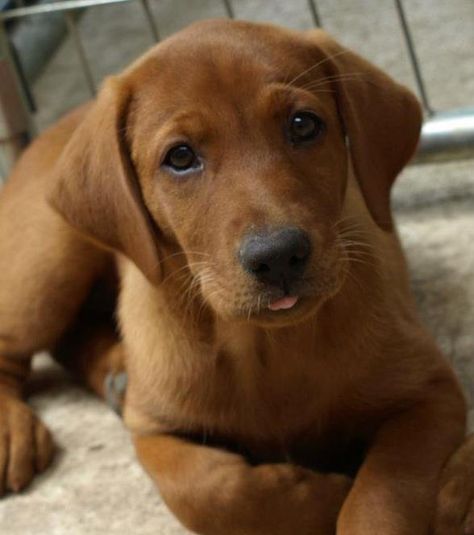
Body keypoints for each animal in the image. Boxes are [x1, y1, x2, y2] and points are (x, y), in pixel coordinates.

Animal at [0, 18, 474, 532]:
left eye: (303, 125)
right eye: (180, 157)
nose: (278, 255)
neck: (264, 346)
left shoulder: (429, 395)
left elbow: (381, 498)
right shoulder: (153, 431)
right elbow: (212, 490)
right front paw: (324, 495)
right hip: (44, 268)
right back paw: (15, 430)